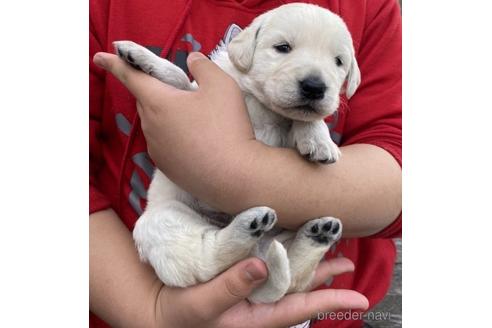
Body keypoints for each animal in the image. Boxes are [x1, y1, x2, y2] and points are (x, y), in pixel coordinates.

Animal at [116, 2, 362, 304]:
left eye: (338, 61)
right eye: (283, 47)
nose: (315, 87)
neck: (263, 104)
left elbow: (307, 119)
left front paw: (319, 140)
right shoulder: (195, 94)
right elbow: (178, 77)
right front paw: (139, 55)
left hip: (283, 238)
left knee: (293, 274)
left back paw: (315, 235)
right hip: (161, 221)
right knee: (209, 260)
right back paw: (248, 225)